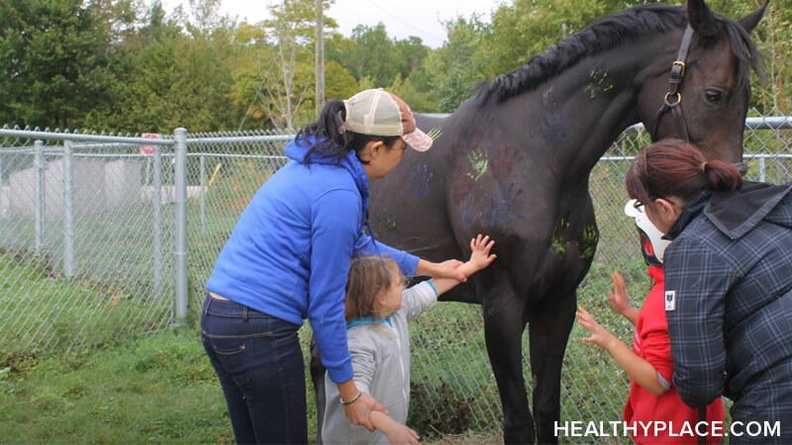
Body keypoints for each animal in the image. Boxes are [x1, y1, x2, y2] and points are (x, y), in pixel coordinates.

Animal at [362, 0, 764, 444]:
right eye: (714, 94)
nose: (731, 186)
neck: (533, 158)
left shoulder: (556, 306)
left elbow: (546, 407)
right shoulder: (501, 309)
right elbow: (518, 420)